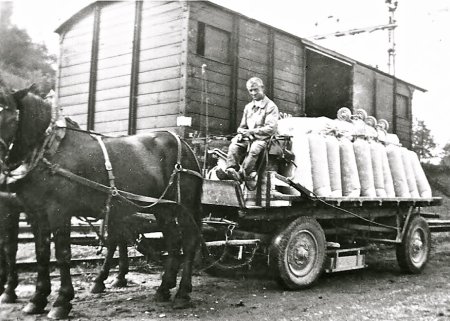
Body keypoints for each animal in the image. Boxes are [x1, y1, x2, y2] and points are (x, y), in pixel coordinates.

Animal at [0, 86, 202, 318]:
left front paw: (61, 302)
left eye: (7, 112)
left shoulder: (59, 211)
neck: (48, 149)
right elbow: (41, 254)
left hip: (184, 207)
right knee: (173, 241)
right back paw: (163, 288)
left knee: (189, 241)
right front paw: (37, 299)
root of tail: (185, 145)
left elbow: (62, 255)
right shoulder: (35, 213)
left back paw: (182, 293)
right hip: (163, 208)